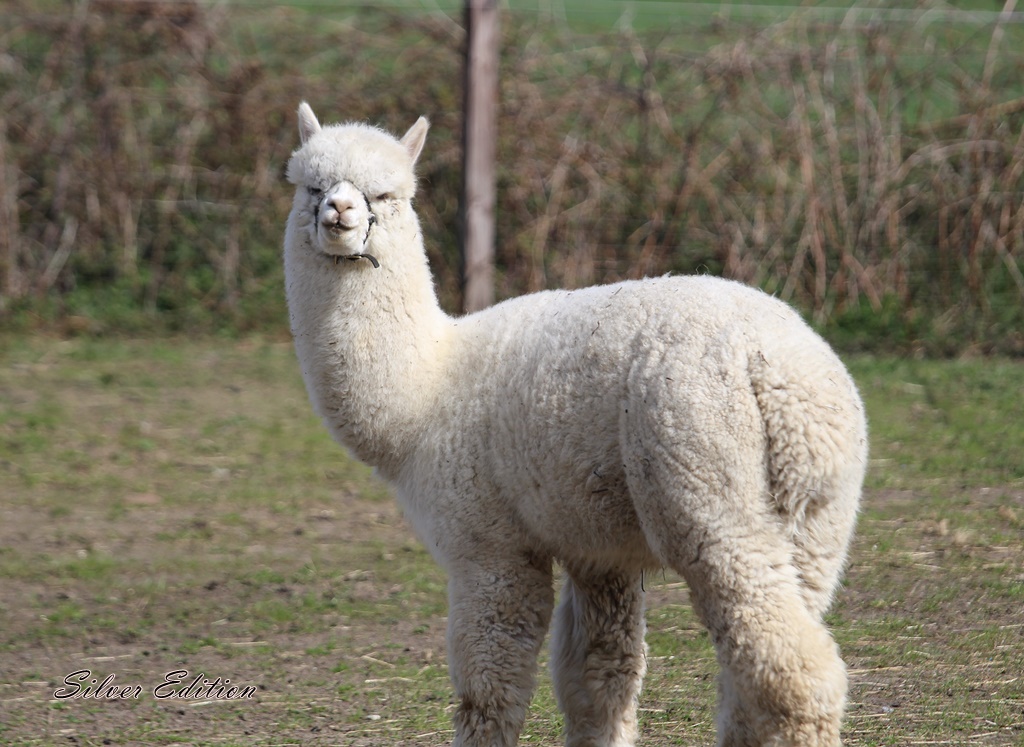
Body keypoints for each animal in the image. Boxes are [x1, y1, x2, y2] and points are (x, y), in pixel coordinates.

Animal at [283, 102, 868, 747]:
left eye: (385, 195)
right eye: (311, 186)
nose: (339, 212)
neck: (427, 391)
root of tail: (782, 373)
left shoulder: (489, 544)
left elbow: (490, 683)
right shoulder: (597, 549)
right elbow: (597, 677)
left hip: (707, 477)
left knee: (793, 666)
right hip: (818, 518)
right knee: (756, 664)